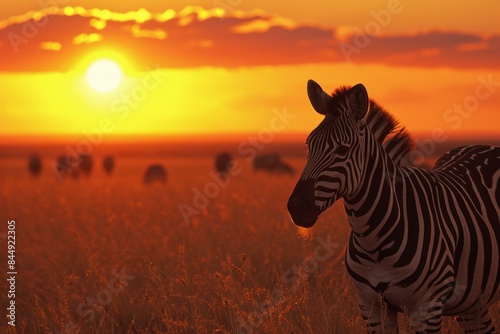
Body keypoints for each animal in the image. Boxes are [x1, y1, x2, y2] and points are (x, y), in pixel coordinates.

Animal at [286, 79, 500, 332]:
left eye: (342, 150)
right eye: (308, 145)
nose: (296, 207)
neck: (373, 238)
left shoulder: (427, 308)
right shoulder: (371, 305)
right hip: (474, 302)